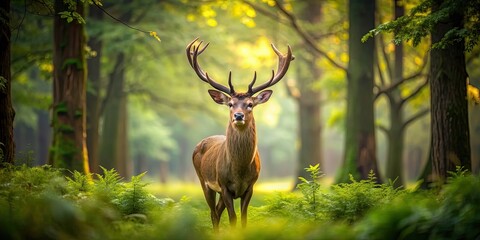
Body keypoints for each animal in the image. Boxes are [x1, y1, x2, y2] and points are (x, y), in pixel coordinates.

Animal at [187, 38, 292, 232]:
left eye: (250, 104)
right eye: (230, 104)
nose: (238, 116)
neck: (239, 171)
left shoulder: (250, 186)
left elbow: (243, 219)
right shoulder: (224, 185)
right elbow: (233, 219)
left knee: (216, 212)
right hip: (203, 181)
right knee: (213, 213)